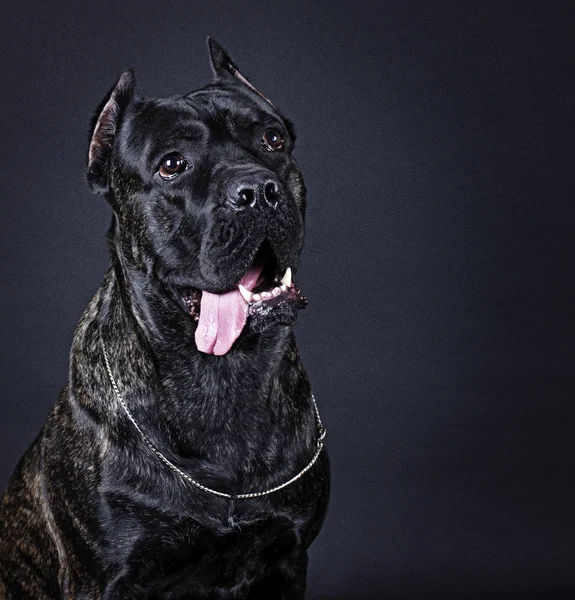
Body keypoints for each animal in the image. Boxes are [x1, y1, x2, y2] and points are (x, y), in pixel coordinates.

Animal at [0, 39, 328, 596]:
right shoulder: (103, 579)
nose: (258, 190)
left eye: (273, 139)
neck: (222, 375)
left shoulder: (289, 557)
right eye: (172, 164)